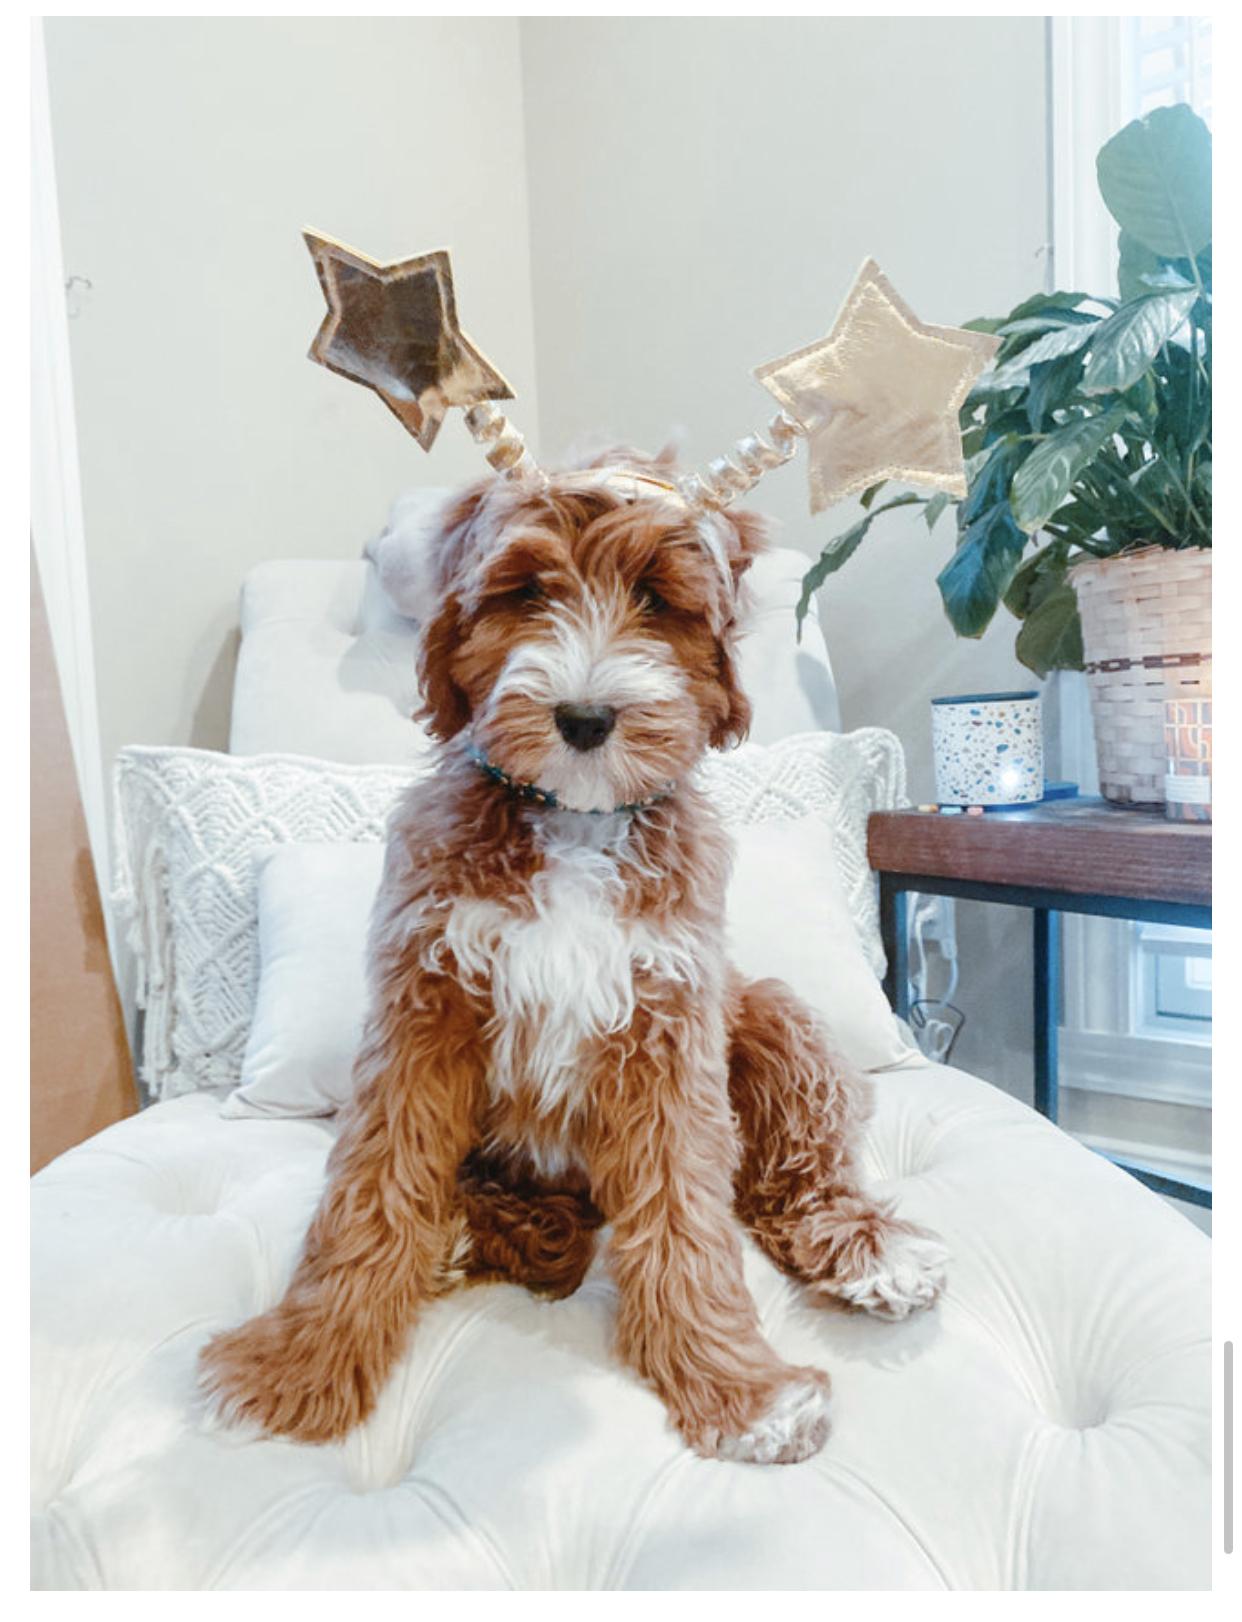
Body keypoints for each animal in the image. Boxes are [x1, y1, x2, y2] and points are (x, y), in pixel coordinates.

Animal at [200, 448, 947, 1464]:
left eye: (657, 599)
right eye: (524, 591)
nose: (587, 716)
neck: (573, 820)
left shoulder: (671, 1017)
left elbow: (685, 1211)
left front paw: (737, 1387)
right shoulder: (424, 1005)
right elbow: (375, 1189)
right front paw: (301, 1362)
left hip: (770, 1015)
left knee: (796, 1173)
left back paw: (873, 1248)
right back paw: (473, 1234)